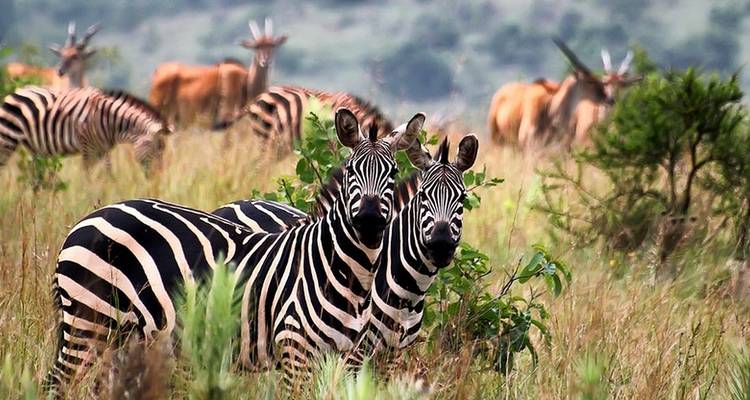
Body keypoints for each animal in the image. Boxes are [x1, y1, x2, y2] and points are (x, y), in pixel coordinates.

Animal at [0, 86, 172, 170]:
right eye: (157, 150)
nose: (158, 177)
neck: (110, 120)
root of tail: (17, 91)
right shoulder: (88, 148)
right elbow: (90, 176)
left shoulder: (103, 149)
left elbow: (108, 174)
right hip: (7, 140)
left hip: (33, 147)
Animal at [46, 109, 424, 394]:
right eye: (350, 172)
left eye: (392, 173)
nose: (370, 220)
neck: (345, 273)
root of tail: (89, 218)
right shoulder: (295, 352)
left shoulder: (345, 359)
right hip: (89, 319)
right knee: (58, 383)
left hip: (120, 336)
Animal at [212, 134, 480, 369]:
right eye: (423, 196)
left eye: (462, 199)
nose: (441, 245)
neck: (408, 292)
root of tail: (232, 204)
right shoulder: (354, 352)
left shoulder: (392, 355)